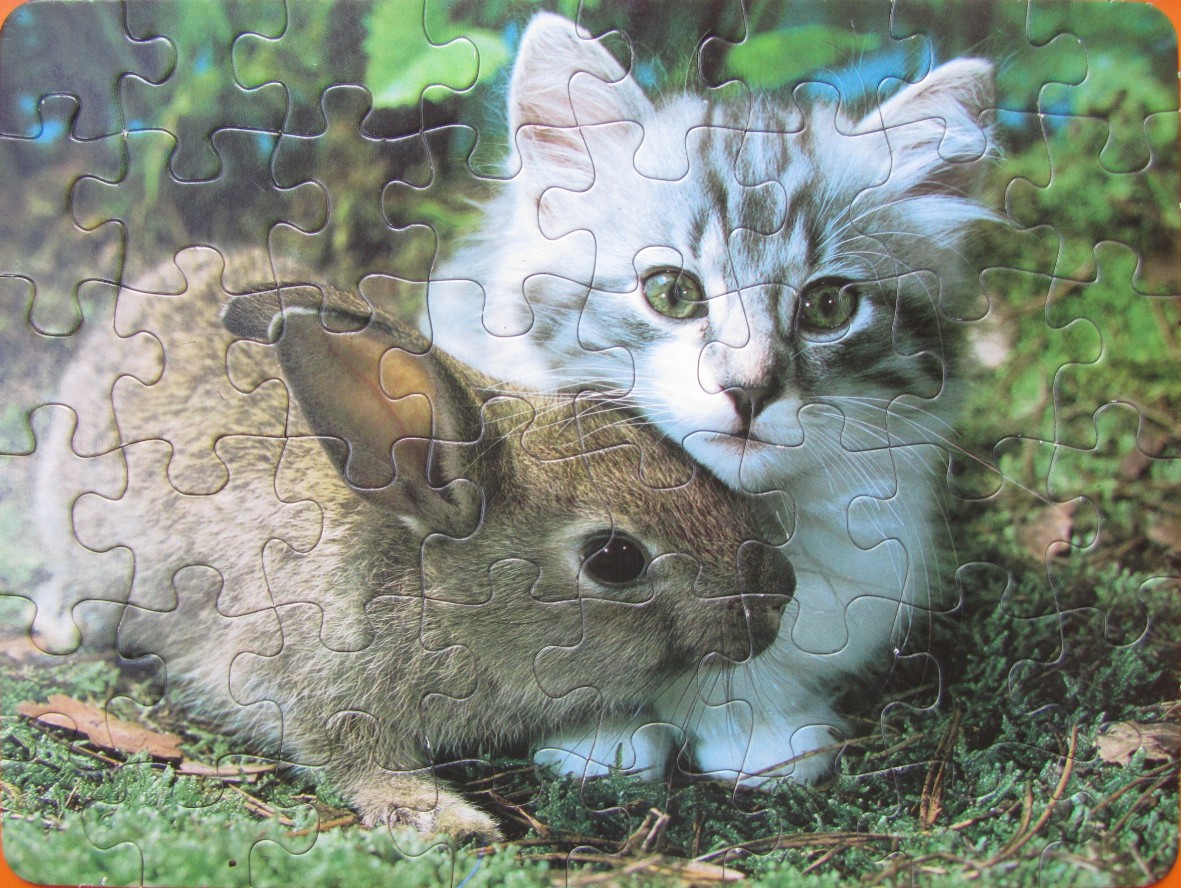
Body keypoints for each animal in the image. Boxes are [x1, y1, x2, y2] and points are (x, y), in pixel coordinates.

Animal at [25, 247, 794, 841]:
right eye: (613, 559)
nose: (777, 594)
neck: (430, 587)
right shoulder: (308, 680)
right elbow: (351, 757)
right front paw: (440, 817)